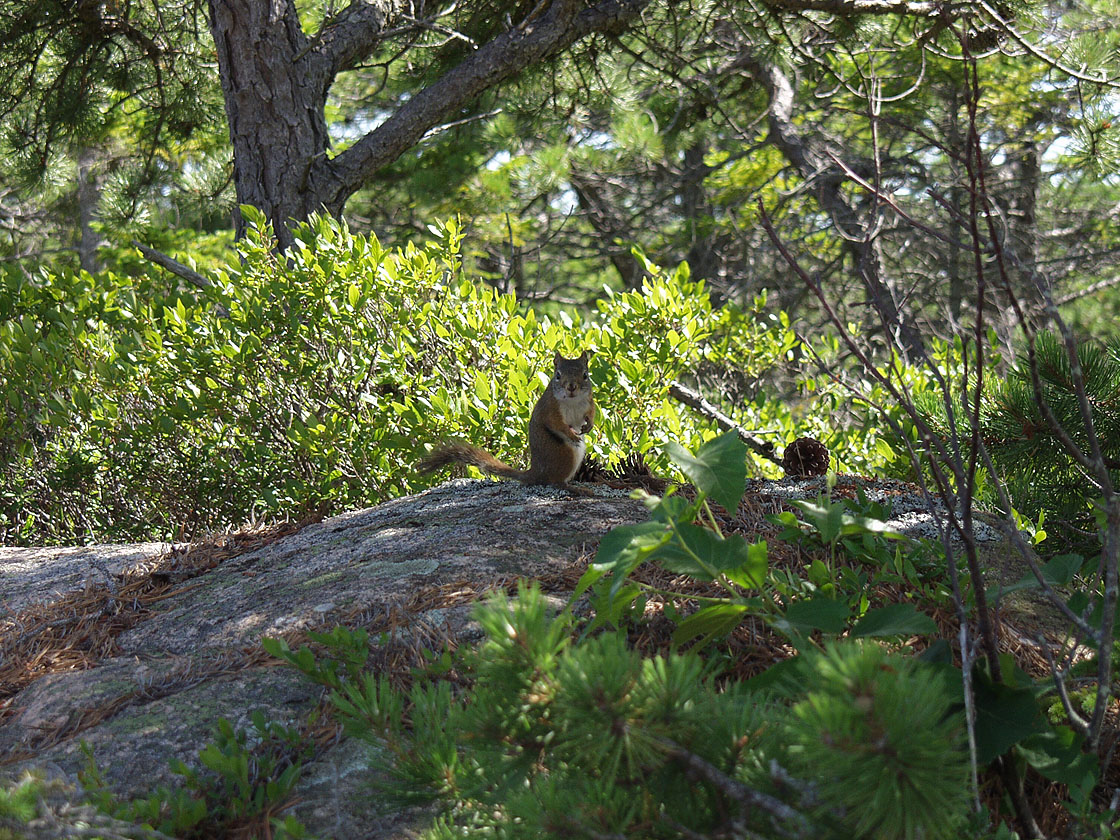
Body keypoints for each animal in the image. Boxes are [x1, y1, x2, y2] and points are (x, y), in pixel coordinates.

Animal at [419, 351, 595, 488]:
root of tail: (535, 472)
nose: (571, 387)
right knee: (553, 481)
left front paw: (589, 426)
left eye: (585, 375)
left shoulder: (589, 402)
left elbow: (591, 414)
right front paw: (571, 433)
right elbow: (556, 424)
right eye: (557, 375)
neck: (572, 400)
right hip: (564, 454)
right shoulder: (550, 408)